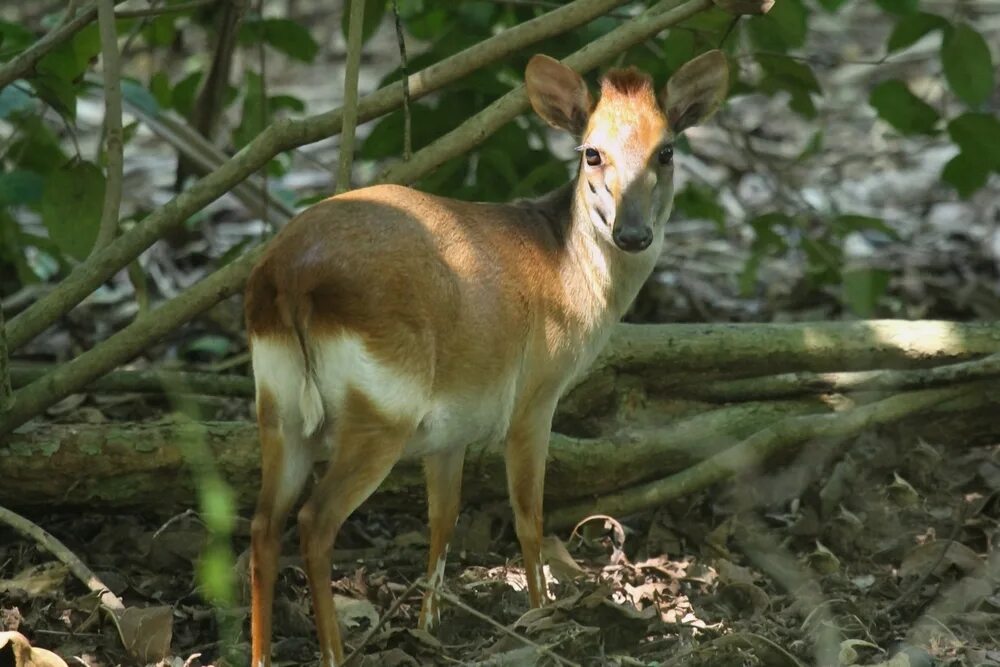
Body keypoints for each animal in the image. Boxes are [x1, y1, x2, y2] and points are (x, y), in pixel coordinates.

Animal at [242, 49, 728, 664]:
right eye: (591, 151)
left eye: (666, 150)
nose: (633, 233)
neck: (569, 272)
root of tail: (289, 279)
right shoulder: (535, 394)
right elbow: (529, 515)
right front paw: (540, 612)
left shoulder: (450, 428)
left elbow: (443, 516)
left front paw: (430, 621)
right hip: (381, 408)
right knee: (314, 520)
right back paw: (333, 650)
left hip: (278, 403)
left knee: (263, 523)